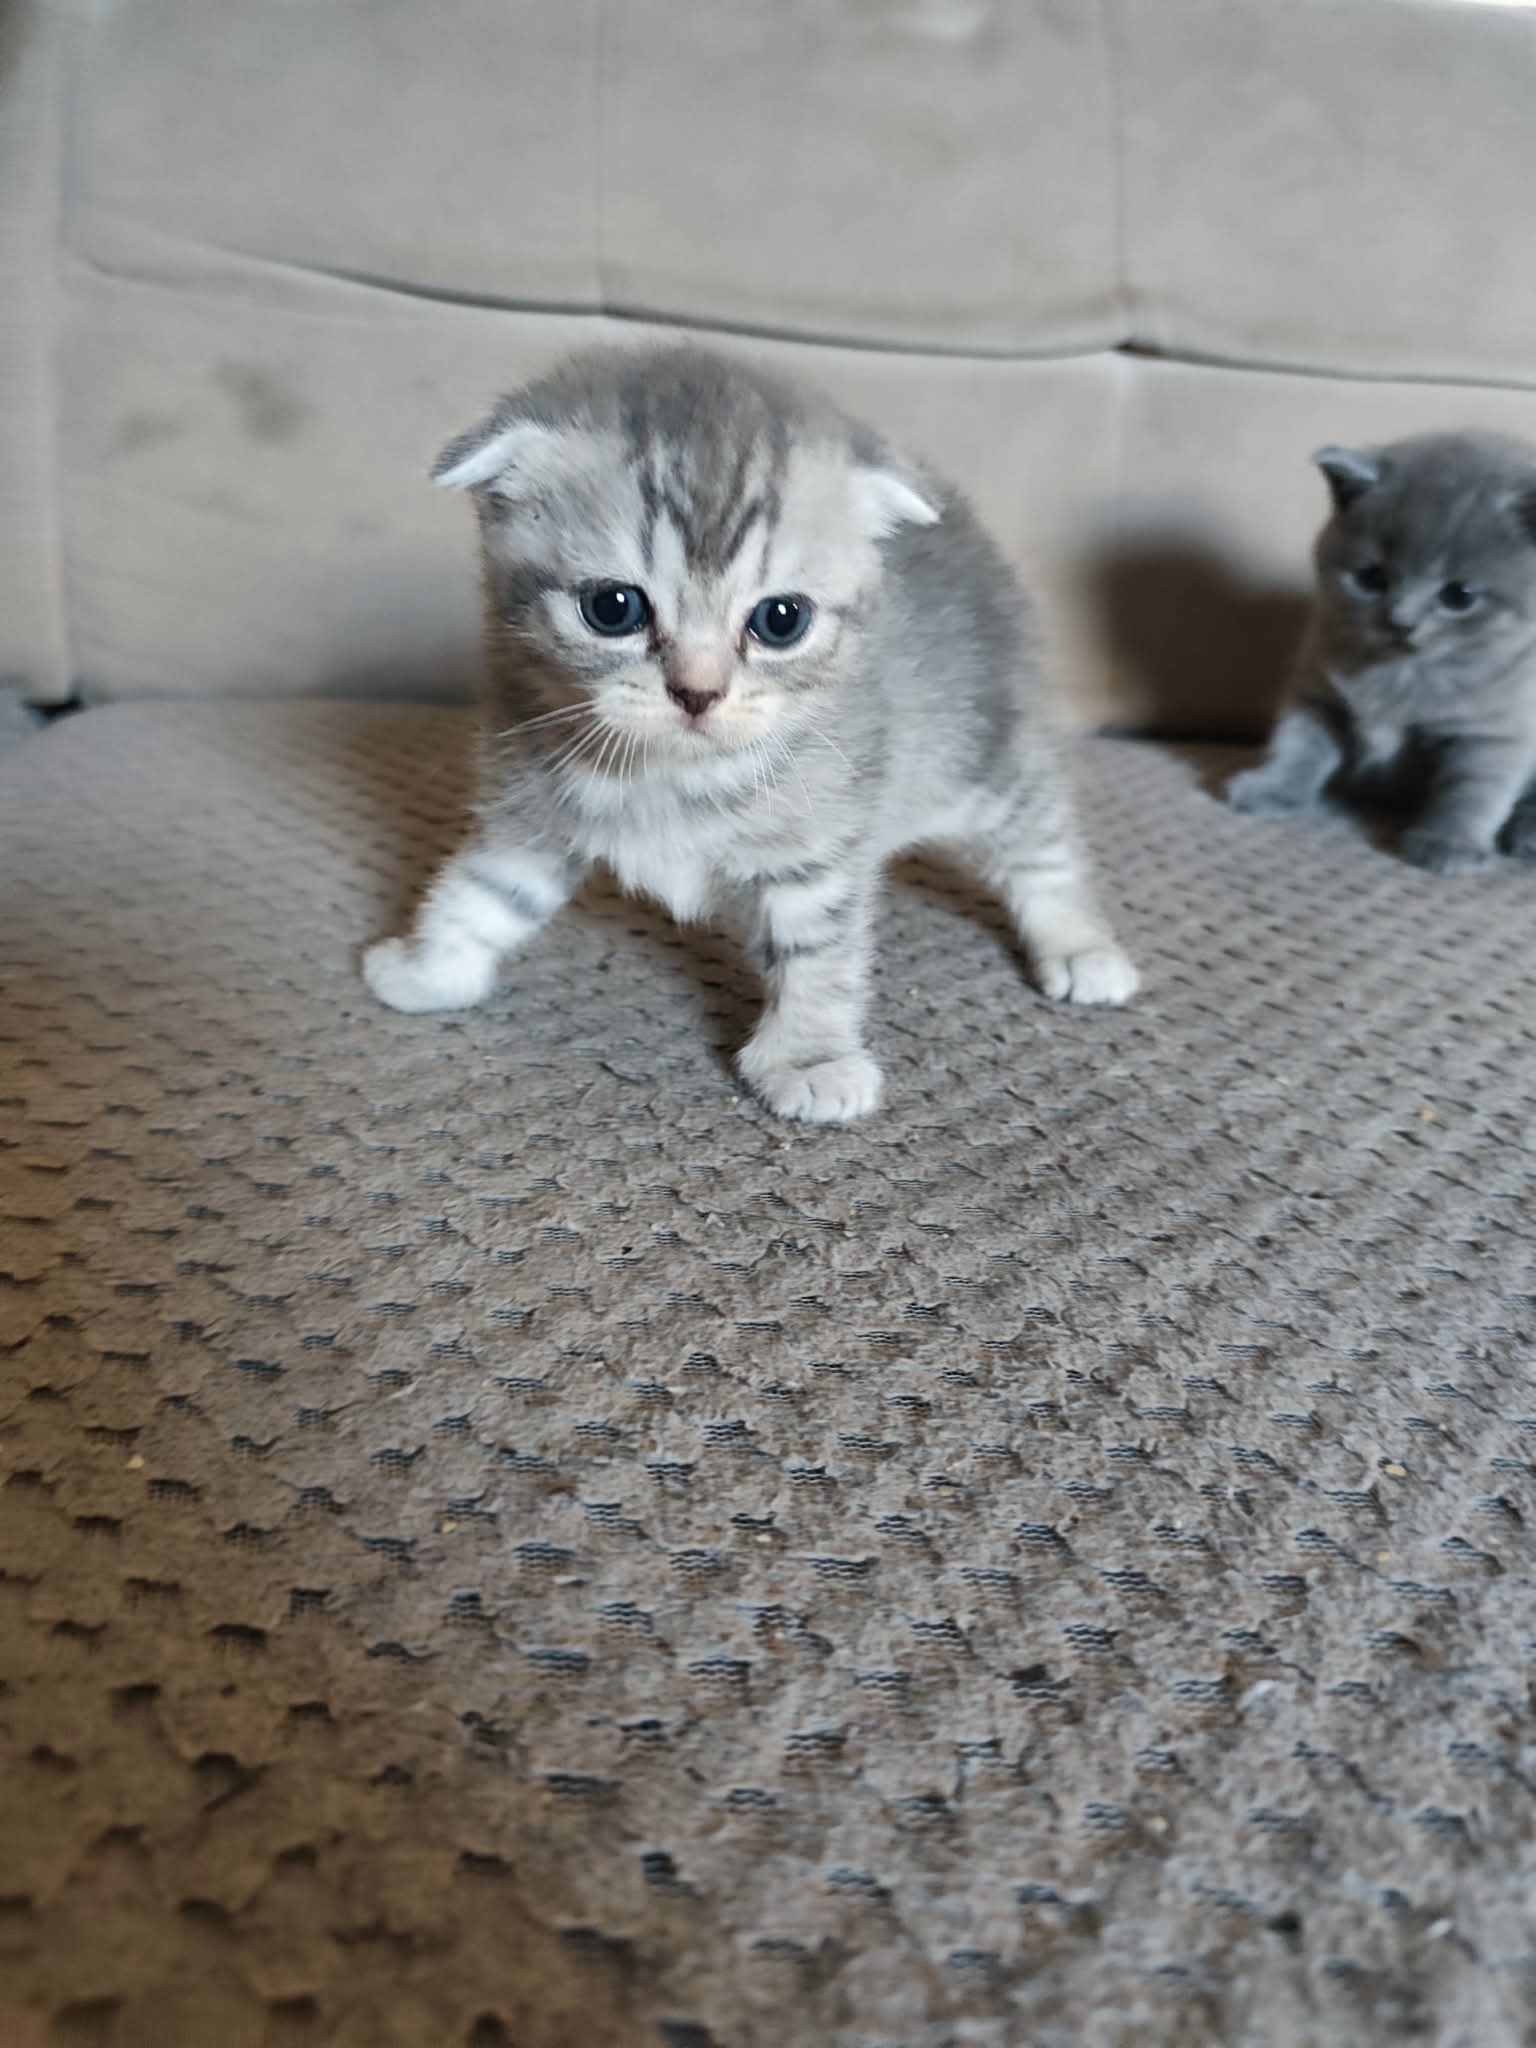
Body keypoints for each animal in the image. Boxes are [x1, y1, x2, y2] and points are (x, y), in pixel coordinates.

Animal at [363, 343, 1137, 1124]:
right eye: (613, 608)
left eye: (780, 620)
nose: (697, 693)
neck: (671, 774)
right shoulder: (533, 821)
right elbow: (480, 895)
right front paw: (427, 970)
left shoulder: (816, 851)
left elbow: (817, 956)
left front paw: (810, 1059)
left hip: (988, 755)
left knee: (1039, 841)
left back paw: (1079, 947)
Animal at [1227, 429, 1536, 874]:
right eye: (1371, 577)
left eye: (1459, 595)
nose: (1401, 620)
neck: (1401, 671)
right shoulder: (1316, 693)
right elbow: (1297, 744)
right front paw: (1273, 787)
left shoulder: (1495, 729)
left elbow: (1472, 788)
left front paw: (1448, 841)